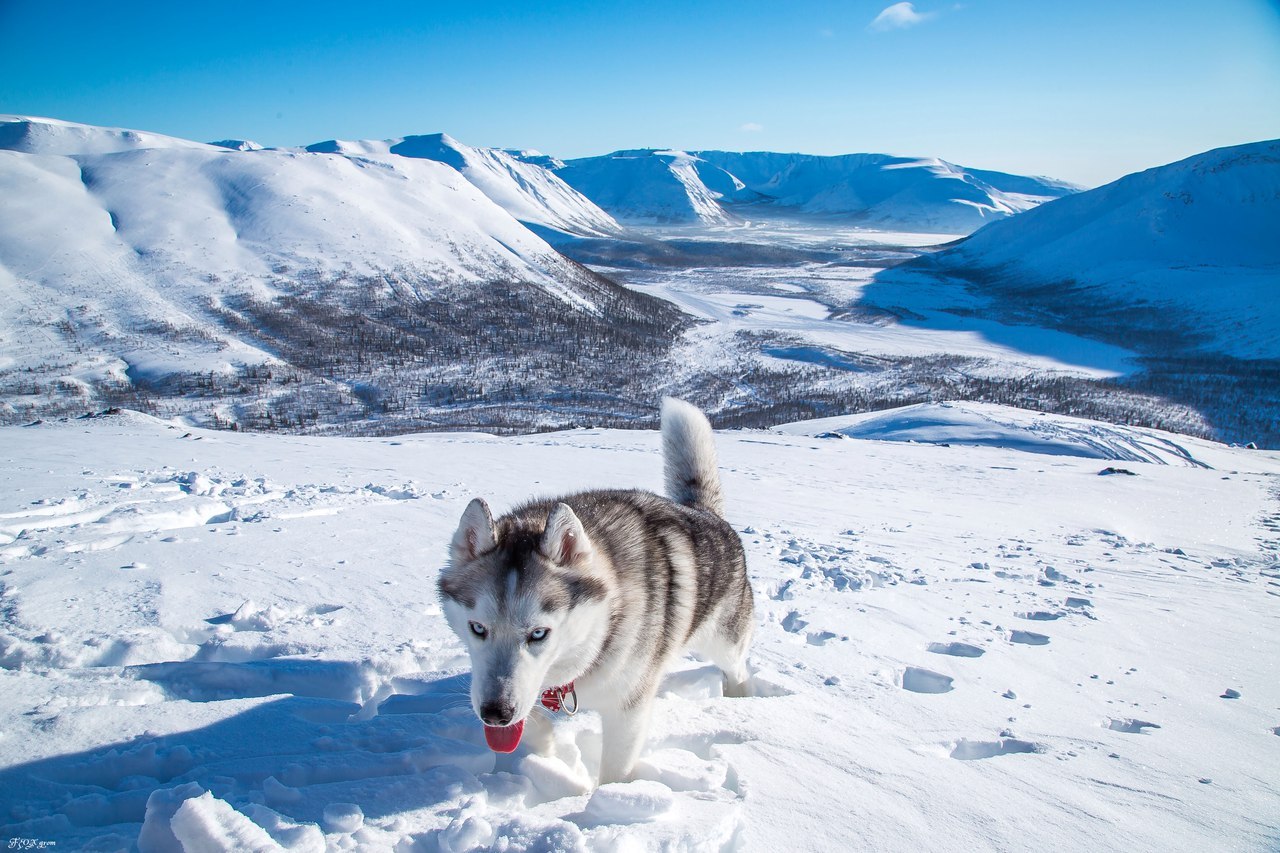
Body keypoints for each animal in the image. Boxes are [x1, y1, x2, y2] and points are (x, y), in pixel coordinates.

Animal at [440, 399, 752, 783]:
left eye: (539, 633)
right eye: (477, 628)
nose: (496, 713)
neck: (602, 627)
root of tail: (706, 514)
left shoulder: (626, 709)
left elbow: (615, 770)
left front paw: (607, 796)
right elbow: (531, 723)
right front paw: (547, 754)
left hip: (723, 641)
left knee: (738, 669)